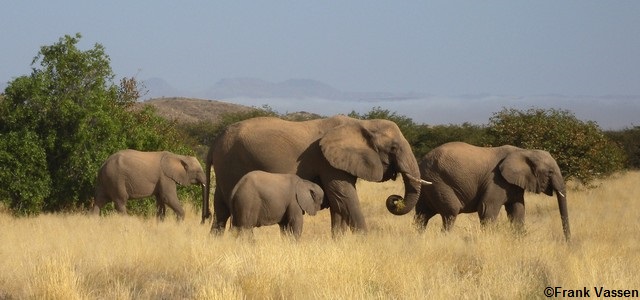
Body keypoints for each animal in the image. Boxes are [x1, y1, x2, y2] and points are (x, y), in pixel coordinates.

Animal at [202, 113, 428, 236]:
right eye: (393, 148)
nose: (395, 199)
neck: (362, 123)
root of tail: (215, 142)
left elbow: (338, 203)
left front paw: (338, 243)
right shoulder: (327, 161)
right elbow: (345, 198)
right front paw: (366, 242)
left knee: (221, 209)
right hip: (232, 164)